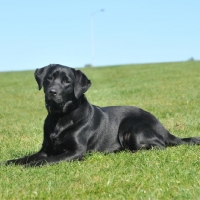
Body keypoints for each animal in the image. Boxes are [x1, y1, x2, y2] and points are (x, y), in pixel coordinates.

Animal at [3, 64, 200, 166]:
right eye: (49, 78)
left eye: (67, 81)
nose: (52, 92)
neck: (60, 117)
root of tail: (164, 128)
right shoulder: (45, 150)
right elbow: (28, 157)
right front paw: (11, 162)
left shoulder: (76, 151)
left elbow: (49, 160)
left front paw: (29, 166)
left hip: (131, 131)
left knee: (158, 146)